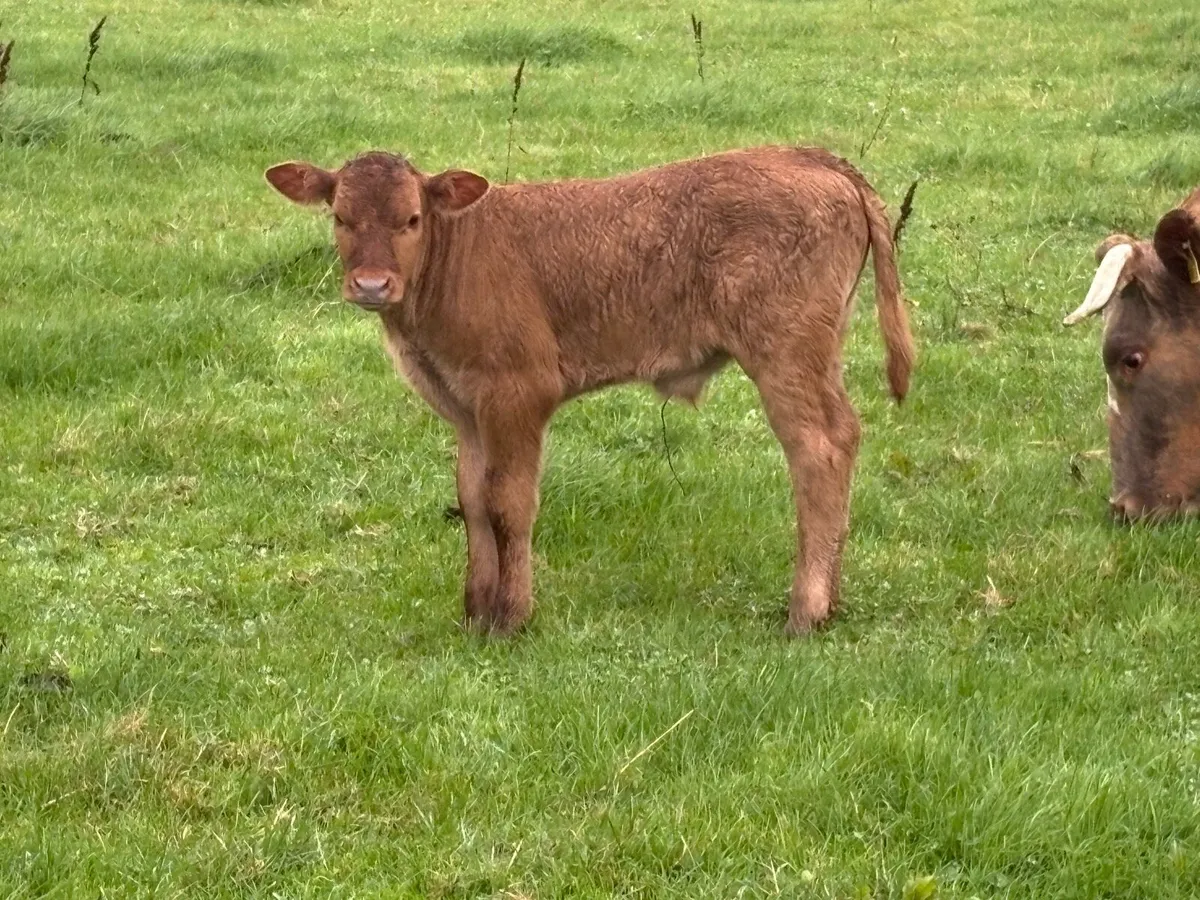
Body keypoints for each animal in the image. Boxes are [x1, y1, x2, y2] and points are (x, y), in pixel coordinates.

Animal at [265, 146, 915, 635]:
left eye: (411, 220)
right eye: (340, 218)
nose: (372, 285)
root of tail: (808, 155)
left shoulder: (519, 392)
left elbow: (509, 503)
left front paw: (511, 617)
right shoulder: (467, 408)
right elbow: (472, 499)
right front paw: (475, 612)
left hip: (786, 351)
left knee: (819, 447)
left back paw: (805, 610)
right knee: (844, 435)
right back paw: (832, 598)